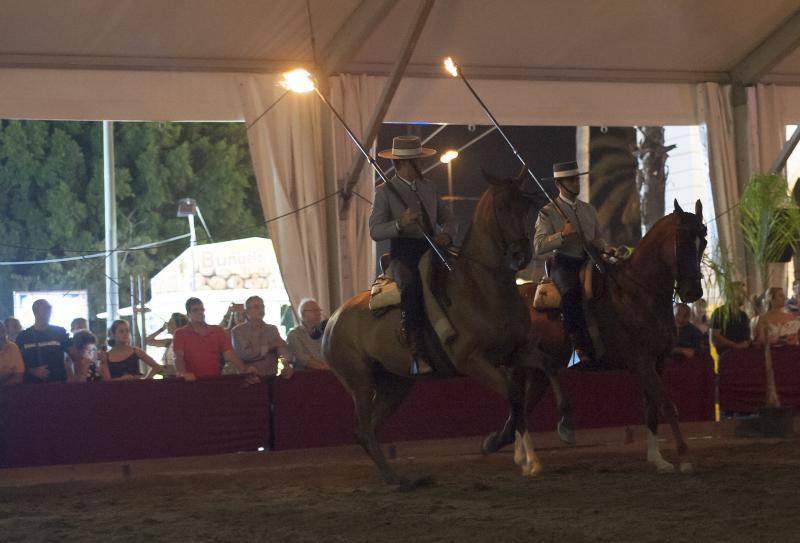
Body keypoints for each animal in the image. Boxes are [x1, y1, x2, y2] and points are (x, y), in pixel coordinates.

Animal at [318, 175, 556, 484]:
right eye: (502, 207)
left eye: (525, 206)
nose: (521, 254)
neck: (481, 285)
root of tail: (332, 321)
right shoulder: (473, 361)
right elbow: (514, 395)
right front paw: (514, 453)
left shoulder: (514, 352)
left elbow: (538, 377)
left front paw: (532, 451)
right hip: (360, 383)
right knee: (364, 429)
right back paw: (396, 480)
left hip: (396, 385)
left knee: (367, 428)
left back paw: (397, 479)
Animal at [496, 200, 708, 476]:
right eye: (681, 239)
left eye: (703, 241)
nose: (693, 292)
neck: (638, 292)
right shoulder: (641, 363)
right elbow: (667, 405)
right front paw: (684, 457)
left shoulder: (658, 362)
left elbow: (651, 409)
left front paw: (658, 459)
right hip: (518, 368)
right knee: (518, 408)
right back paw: (531, 460)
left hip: (538, 373)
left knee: (523, 408)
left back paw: (524, 457)